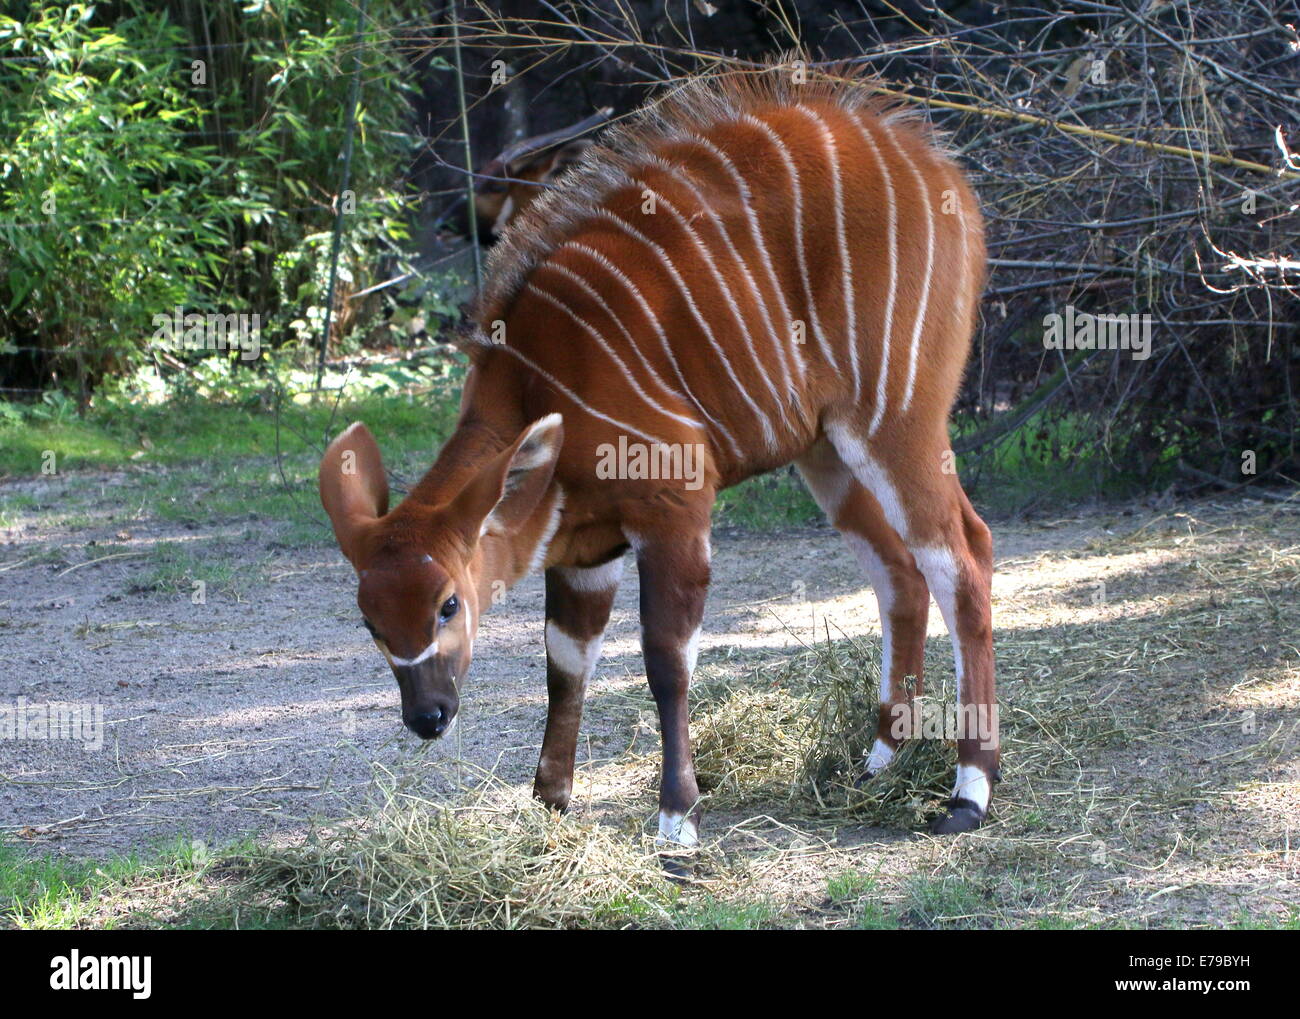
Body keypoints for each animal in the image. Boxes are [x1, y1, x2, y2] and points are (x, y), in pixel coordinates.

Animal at [319, 61, 997, 844]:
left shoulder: (674, 506)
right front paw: (549, 804)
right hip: (825, 449)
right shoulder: (586, 552)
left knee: (962, 554)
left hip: (897, 418)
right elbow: (565, 660)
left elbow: (666, 660)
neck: (537, 383)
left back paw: (969, 790)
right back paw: (881, 759)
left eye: (448, 604)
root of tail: (939, 167)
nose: (427, 717)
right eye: (369, 620)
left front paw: (677, 823)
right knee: (899, 573)